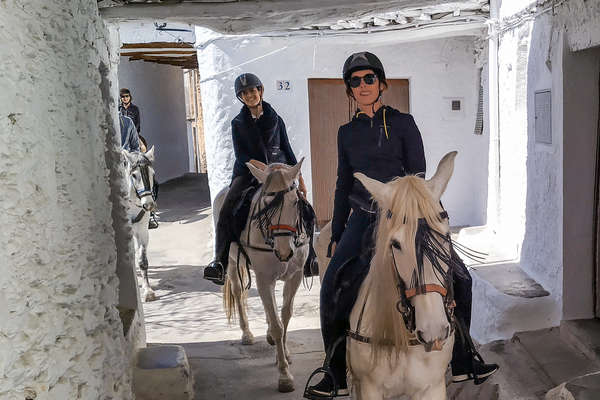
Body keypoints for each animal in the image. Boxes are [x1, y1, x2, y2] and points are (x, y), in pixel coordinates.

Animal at [214, 160, 310, 394]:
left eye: (295, 202)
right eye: (267, 205)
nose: (284, 251)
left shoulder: (294, 276)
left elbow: (284, 316)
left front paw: (284, 354)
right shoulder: (264, 277)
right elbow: (277, 325)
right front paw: (284, 376)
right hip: (233, 264)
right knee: (238, 291)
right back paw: (247, 334)